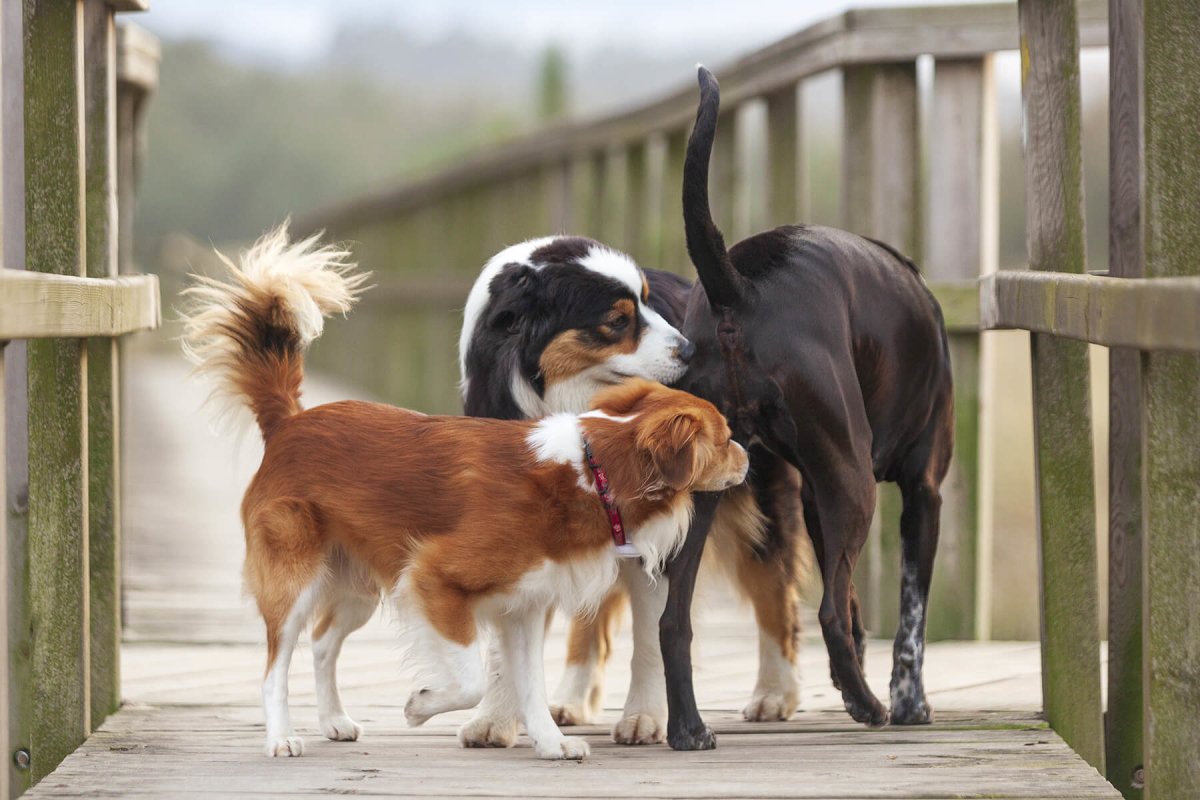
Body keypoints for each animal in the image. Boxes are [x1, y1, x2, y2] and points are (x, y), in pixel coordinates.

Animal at [181, 226, 744, 762]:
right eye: (617, 321)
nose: (748, 454)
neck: (590, 468)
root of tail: (291, 422)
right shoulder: (435, 580)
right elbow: (473, 678)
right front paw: (422, 704)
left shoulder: (524, 605)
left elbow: (531, 684)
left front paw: (550, 743)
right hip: (295, 579)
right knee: (275, 666)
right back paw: (282, 737)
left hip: (358, 586)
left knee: (321, 643)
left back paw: (334, 721)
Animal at [662, 68, 950, 753]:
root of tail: (738, 287)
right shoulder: (922, 491)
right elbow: (909, 619)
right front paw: (909, 702)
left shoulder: (816, 497)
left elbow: (854, 604)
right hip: (854, 485)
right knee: (824, 613)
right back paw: (869, 706)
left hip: (706, 496)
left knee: (673, 619)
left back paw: (690, 728)